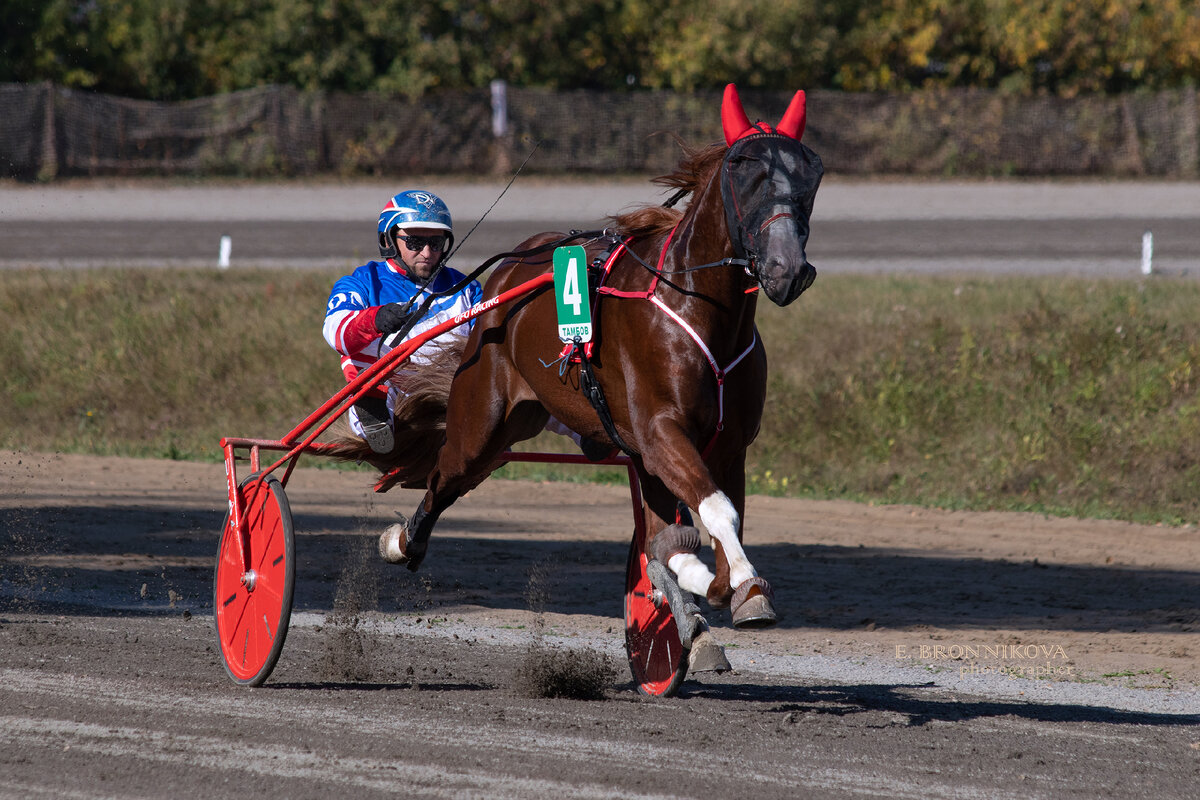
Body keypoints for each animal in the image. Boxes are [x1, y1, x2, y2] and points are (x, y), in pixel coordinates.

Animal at [374, 84, 825, 628]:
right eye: (743, 167)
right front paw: (742, 583)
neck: (699, 307)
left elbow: (713, 526)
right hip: (482, 421)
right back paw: (403, 541)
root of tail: (506, 274)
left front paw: (721, 586)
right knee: (446, 475)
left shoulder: (727, 443)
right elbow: (717, 511)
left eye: (811, 170)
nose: (787, 269)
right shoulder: (660, 430)